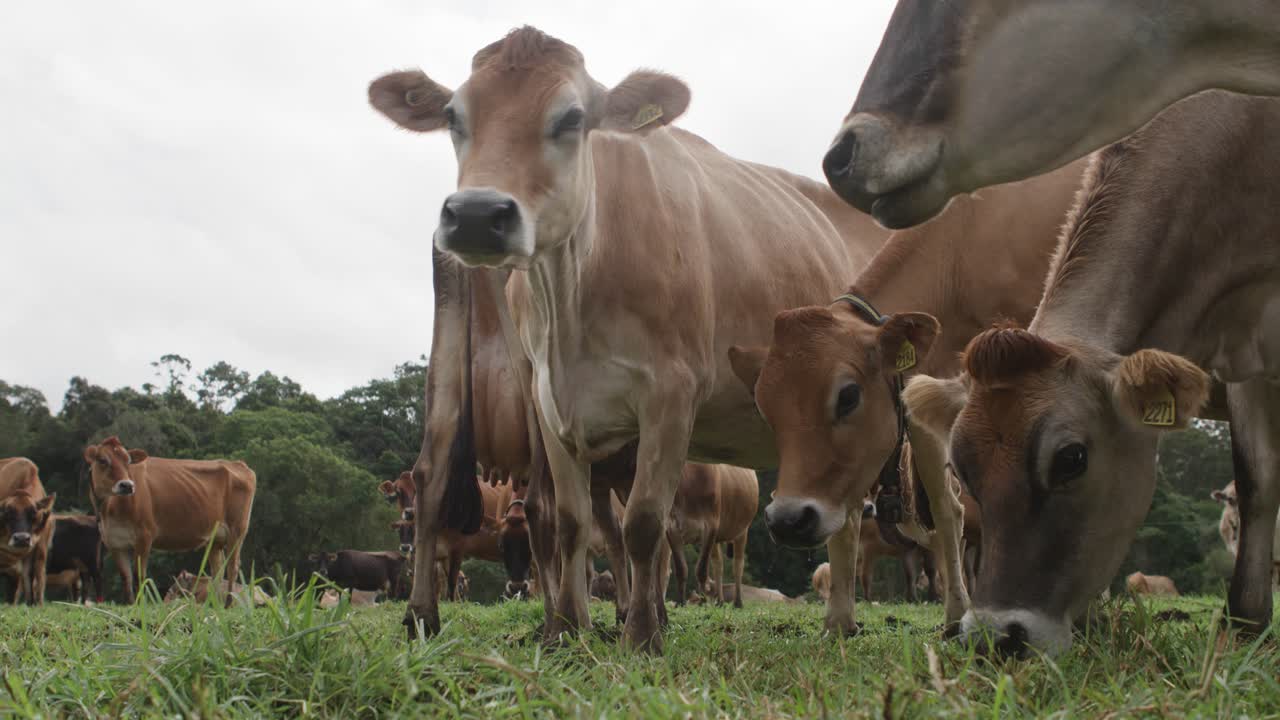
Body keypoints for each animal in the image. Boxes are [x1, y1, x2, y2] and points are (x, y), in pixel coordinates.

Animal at [0, 458, 56, 604]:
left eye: (34, 514)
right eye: (7, 513)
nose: (21, 538)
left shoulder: (39, 547)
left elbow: (33, 576)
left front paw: (34, 604)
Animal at [84, 437, 256, 604]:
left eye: (128, 461)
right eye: (102, 460)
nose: (127, 485)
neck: (109, 508)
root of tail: (237, 463)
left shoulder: (144, 536)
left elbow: (139, 576)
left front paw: (140, 606)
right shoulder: (114, 542)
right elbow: (126, 578)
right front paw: (130, 604)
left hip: (237, 530)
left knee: (232, 567)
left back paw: (228, 604)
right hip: (216, 538)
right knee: (217, 571)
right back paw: (213, 604)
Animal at [664, 464, 758, 607]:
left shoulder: (711, 525)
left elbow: (701, 570)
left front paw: (704, 599)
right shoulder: (672, 527)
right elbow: (681, 569)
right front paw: (680, 603)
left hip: (742, 530)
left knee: (738, 564)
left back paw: (737, 602)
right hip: (717, 538)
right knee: (718, 564)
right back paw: (720, 601)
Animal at [728, 158, 1085, 633]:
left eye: (847, 396)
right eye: (766, 410)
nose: (787, 520)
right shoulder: (919, 396)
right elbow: (943, 507)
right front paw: (845, 618)